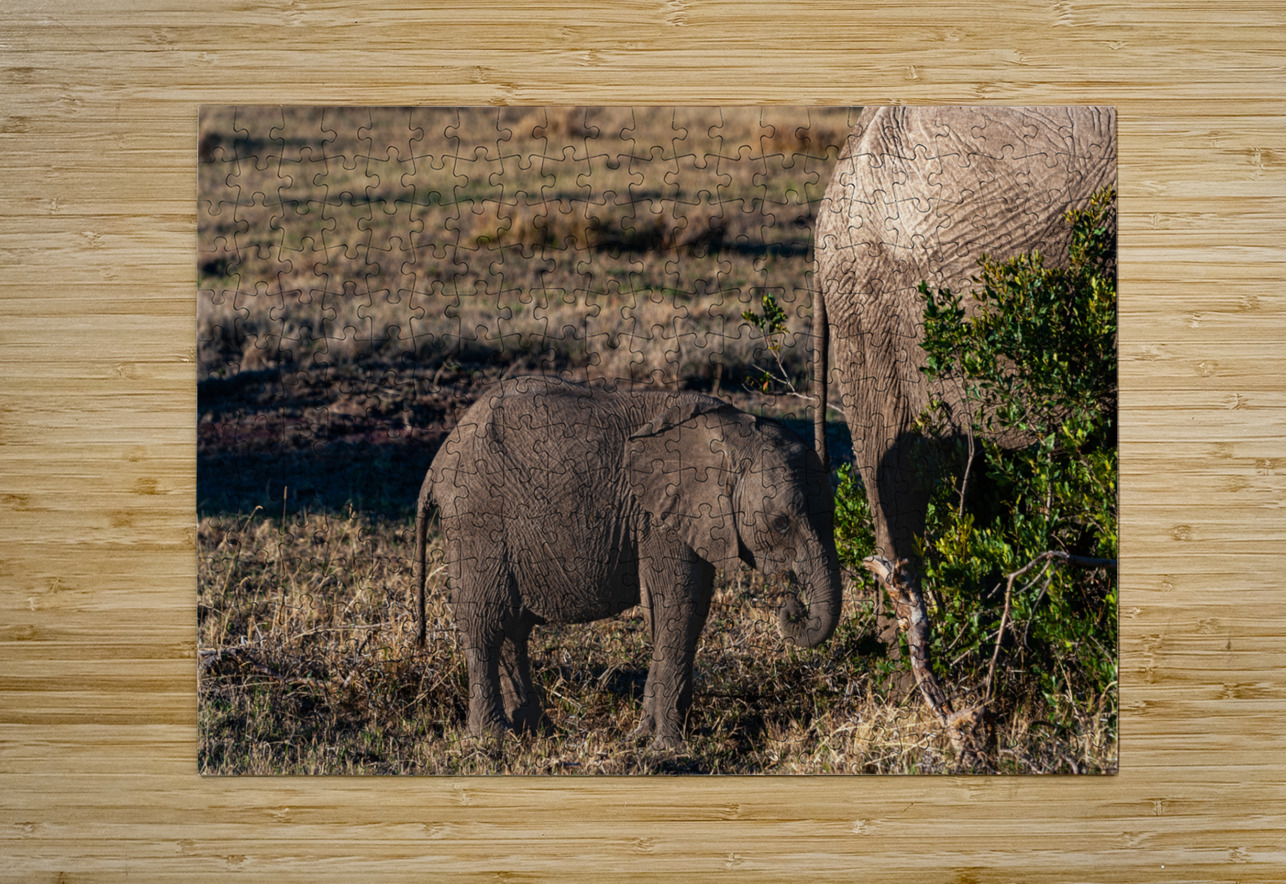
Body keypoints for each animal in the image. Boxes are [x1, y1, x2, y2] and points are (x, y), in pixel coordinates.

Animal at [415, 375, 842, 750]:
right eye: (782, 523)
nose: (792, 607)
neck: (735, 436)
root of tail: (436, 465)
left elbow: (679, 610)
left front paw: (647, 735)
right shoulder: (661, 516)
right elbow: (678, 605)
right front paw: (669, 746)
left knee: (511, 628)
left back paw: (536, 731)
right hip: (476, 519)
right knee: (484, 623)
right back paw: (491, 740)